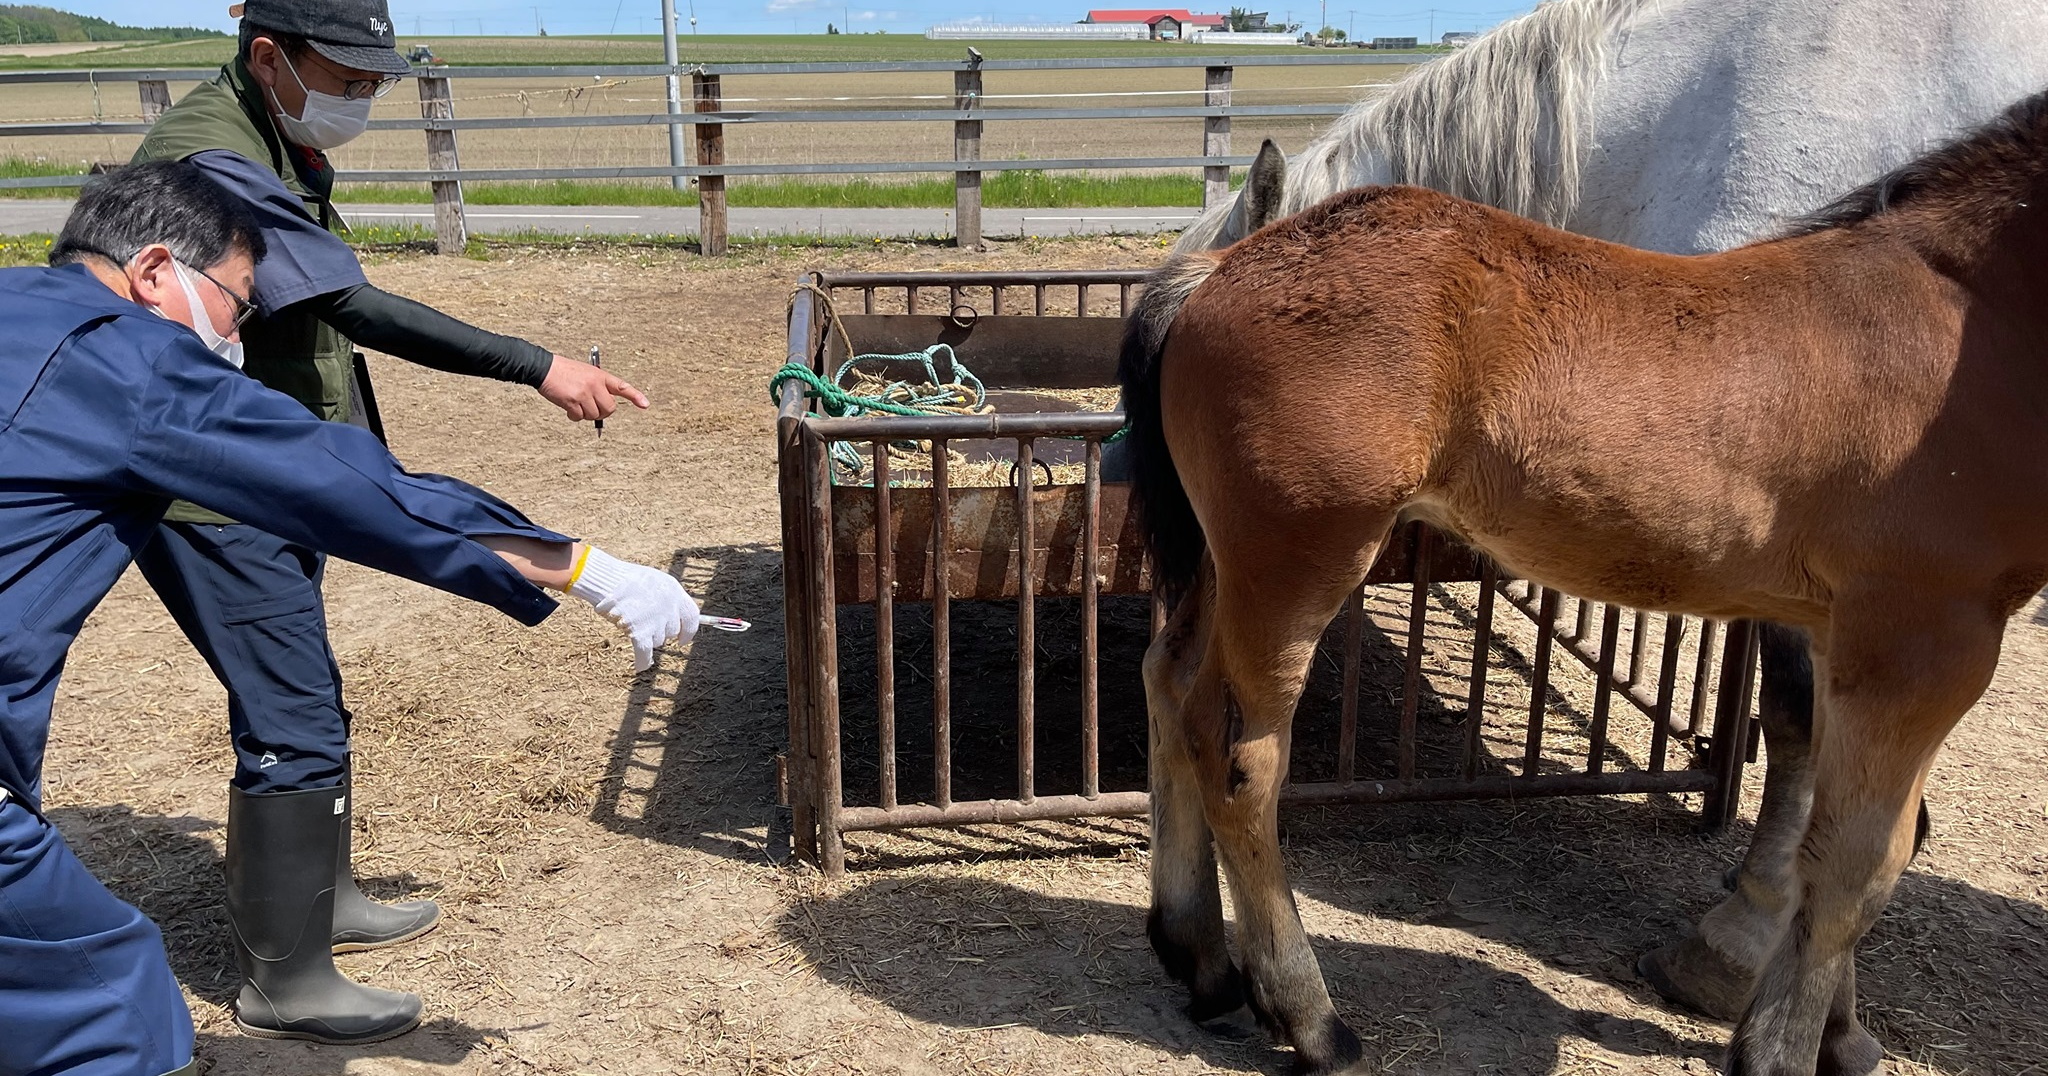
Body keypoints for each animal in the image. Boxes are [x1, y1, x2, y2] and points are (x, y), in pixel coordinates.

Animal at [1171, 0, 2048, 1065]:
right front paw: (1770, 1023)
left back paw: (1202, 961)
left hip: (1236, 562)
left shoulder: (1858, 631)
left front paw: (1828, 1025)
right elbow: (1854, 854)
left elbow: (1853, 826)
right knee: (1241, 760)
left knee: (1173, 696)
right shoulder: (1924, 641)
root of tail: (1224, 272)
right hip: (1297, 560)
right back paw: (1309, 1015)